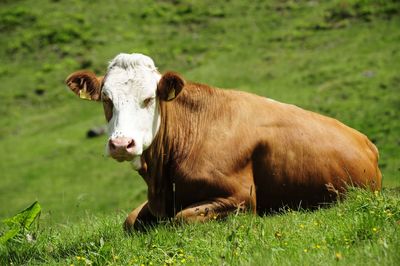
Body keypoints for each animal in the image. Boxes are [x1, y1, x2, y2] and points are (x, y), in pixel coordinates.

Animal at [65, 52, 382, 231]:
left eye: (149, 98)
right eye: (107, 99)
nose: (121, 144)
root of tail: (366, 140)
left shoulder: (240, 198)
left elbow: (181, 218)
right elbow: (129, 221)